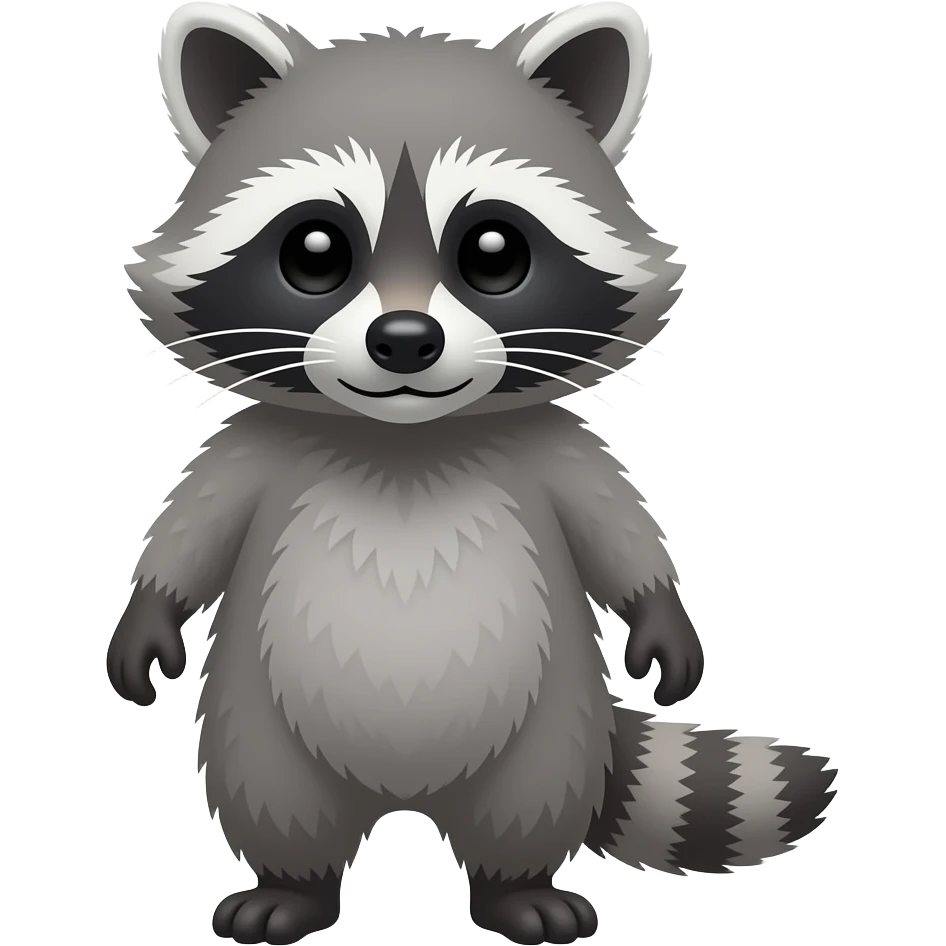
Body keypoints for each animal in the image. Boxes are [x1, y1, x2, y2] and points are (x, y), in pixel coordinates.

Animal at [109, 3, 839, 944]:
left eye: (494, 251)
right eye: (315, 251)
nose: (405, 341)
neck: (405, 439)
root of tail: (407, 795)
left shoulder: (549, 447)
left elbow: (615, 527)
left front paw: (661, 612)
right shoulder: (259, 446)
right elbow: (194, 527)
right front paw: (147, 615)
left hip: (554, 720)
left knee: (529, 801)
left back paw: (514, 887)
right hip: (257, 715)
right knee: (272, 794)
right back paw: (292, 886)